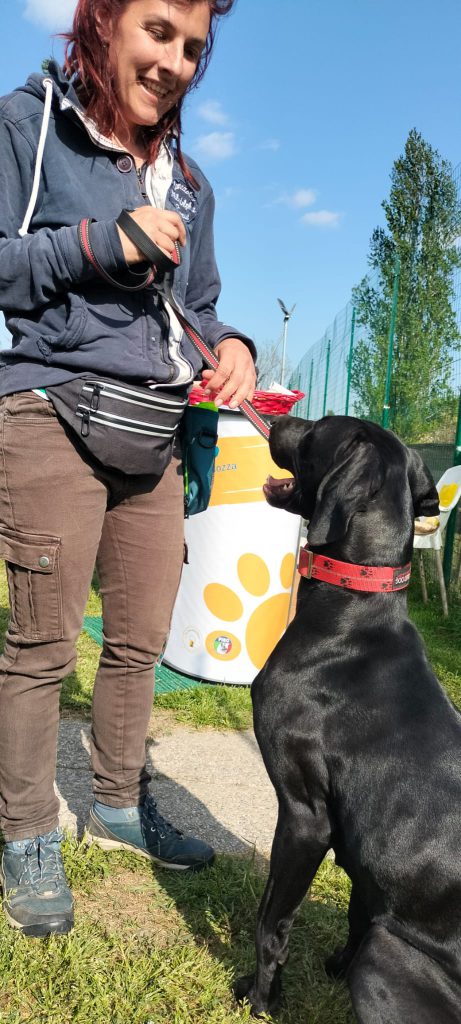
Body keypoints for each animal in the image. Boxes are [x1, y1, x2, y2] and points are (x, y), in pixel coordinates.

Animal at [235, 414, 461, 1023]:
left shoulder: (305, 815)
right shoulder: (361, 856)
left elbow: (270, 923)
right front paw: (330, 969)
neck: (352, 614)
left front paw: (261, 999)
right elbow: (359, 911)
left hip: (389, 956)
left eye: (316, 429)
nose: (278, 414)